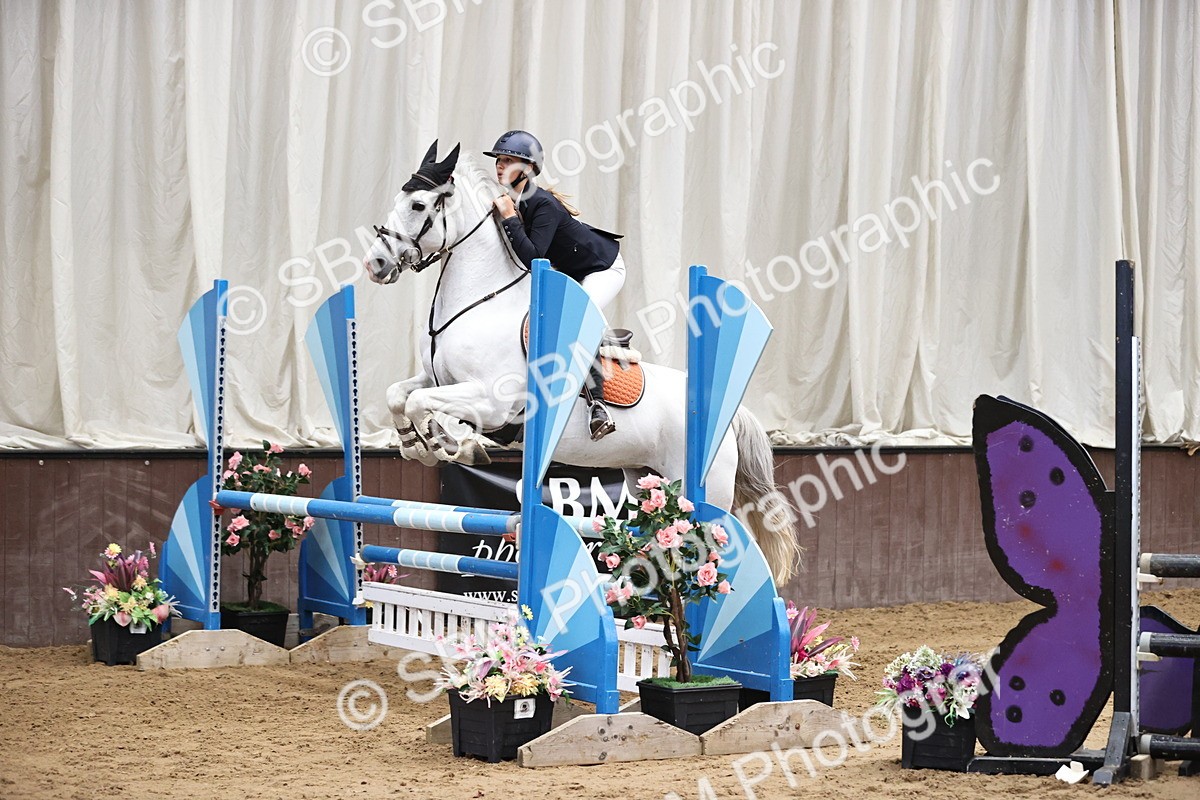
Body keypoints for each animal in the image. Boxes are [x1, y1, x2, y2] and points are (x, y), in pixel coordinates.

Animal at [362, 141, 799, 584]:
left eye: (418, 205)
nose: (374, 265)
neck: (481, 300)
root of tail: (730, 415)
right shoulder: (437, 379)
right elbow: (400, 395)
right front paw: (416, 444)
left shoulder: (491, 401)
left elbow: (421, 404)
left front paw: (449, 446)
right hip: (648, 481)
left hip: (705, 490)